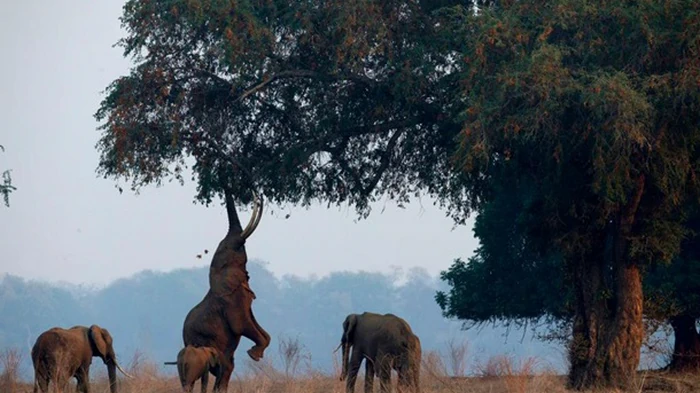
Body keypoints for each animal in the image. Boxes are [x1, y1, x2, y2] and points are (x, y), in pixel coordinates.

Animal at [183, 188, 270, 390]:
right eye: (230, 247)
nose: (258, 195)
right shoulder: (230, 301)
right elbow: (241, 324)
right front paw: (254, 354)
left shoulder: (243, 294)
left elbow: (255, 323)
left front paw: (256, 353)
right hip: (206, 343)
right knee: (224, 368)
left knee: (227, 369)